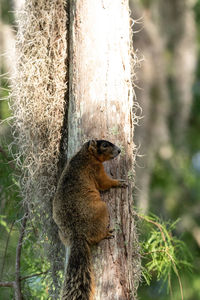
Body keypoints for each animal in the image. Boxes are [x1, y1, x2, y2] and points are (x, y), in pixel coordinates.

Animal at [52, 141, 127, 300]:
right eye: (104, 145)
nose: (119, 150)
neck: (85, 154)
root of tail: (77, 235)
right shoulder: (96, 170)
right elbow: (105, 182)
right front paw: (118, 182)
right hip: (102, 210)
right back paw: (106, 233)